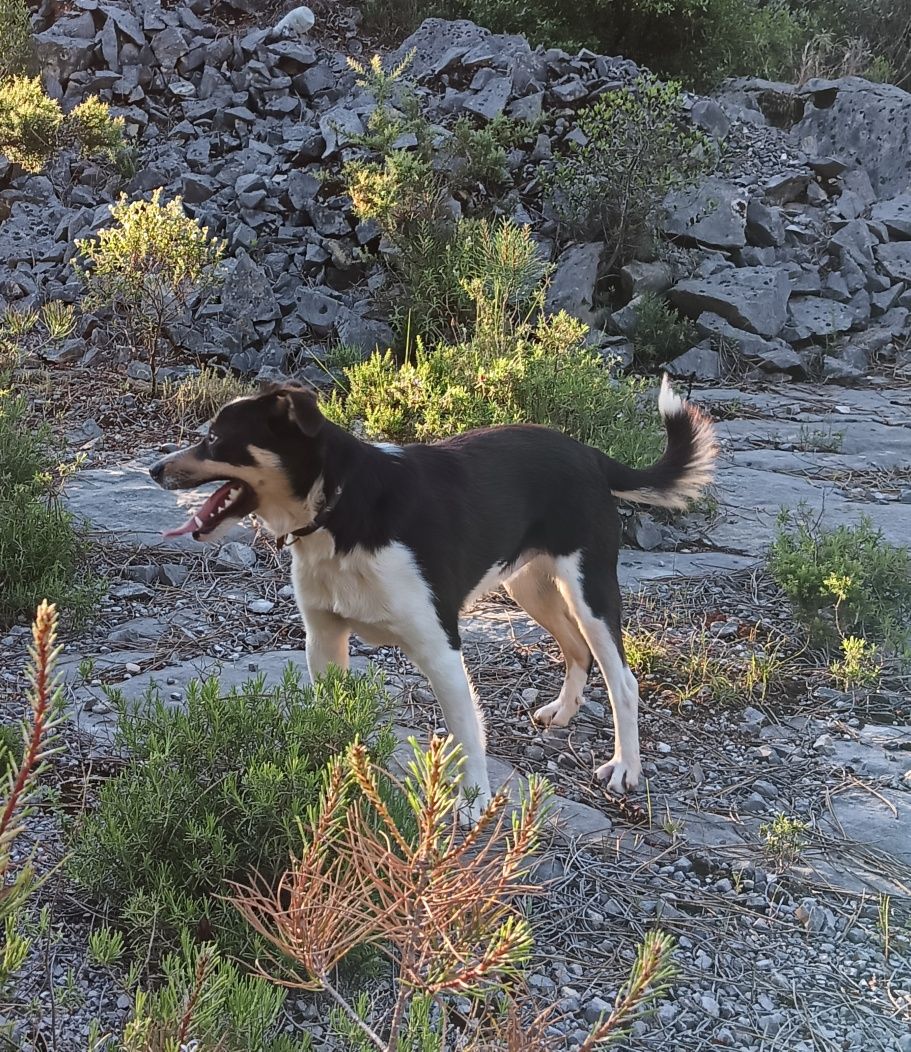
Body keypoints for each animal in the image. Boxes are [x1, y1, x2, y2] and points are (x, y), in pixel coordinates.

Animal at [150, 378, 715, 812]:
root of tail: (590, 454)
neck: (339, 507)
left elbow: (467, 733)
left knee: (622, 680)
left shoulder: (441, 648)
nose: (154, 469)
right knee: (576, 650)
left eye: (215, 439)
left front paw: (474, 804)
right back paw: (563, 711)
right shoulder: (324, 640)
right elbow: (333, 721)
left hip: (589, 590)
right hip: (528, 584)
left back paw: (625, 766)